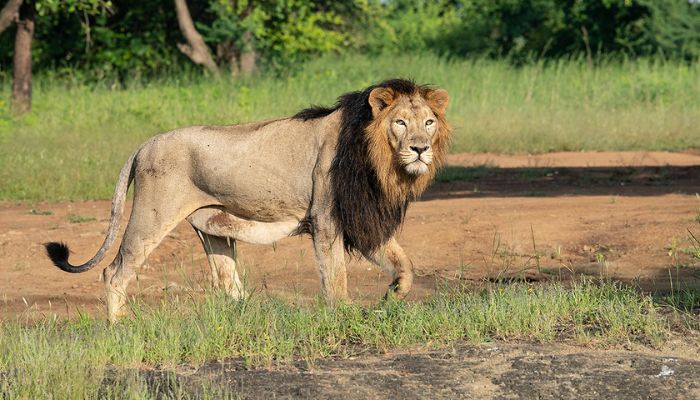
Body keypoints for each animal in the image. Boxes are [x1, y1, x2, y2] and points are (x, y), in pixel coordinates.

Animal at [45, 79, 448, 322]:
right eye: (400, 123)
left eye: (428, 123)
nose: (420, 149)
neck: (382, 163)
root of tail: (144, 143)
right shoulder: (326, 219)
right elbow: (335, 278)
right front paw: (341, 318)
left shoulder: (363, 220)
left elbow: (405, 265)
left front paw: (391, 298)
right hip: (152, 215)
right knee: (114, 271)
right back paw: (121, 327)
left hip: (213, 225)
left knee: (227, 284)